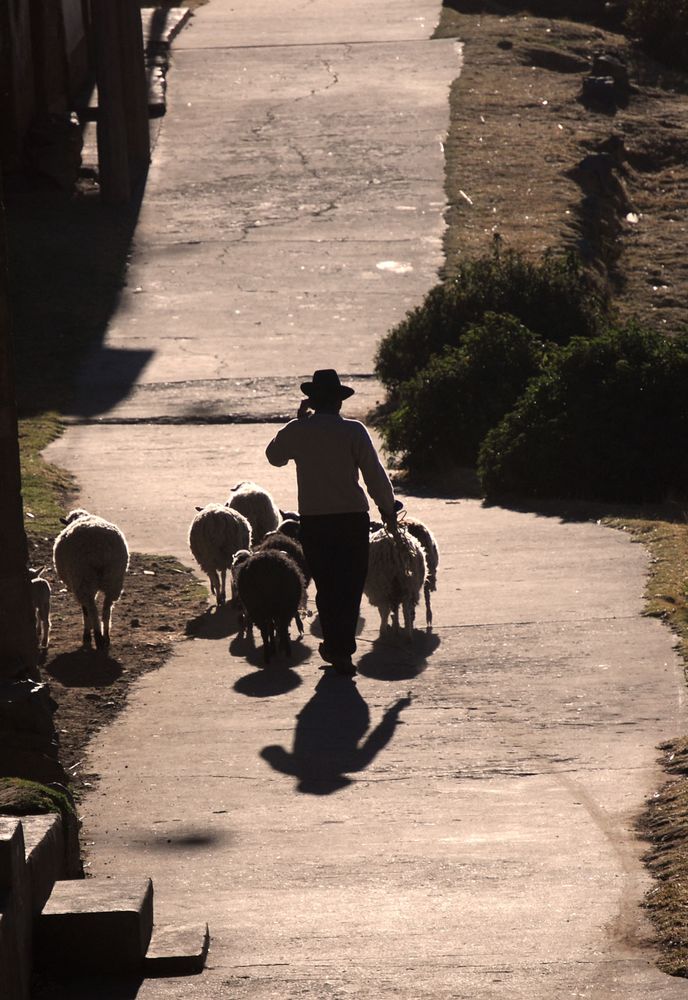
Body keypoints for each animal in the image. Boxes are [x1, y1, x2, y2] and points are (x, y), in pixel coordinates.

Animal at [52, 508, 129, 648]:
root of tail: (100, 548)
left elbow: (85, 610)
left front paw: (87, 634)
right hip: (113, 578)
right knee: (107, 610)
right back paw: (106, 636)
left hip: (83, 578)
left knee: (91, 609)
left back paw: (96, 636)